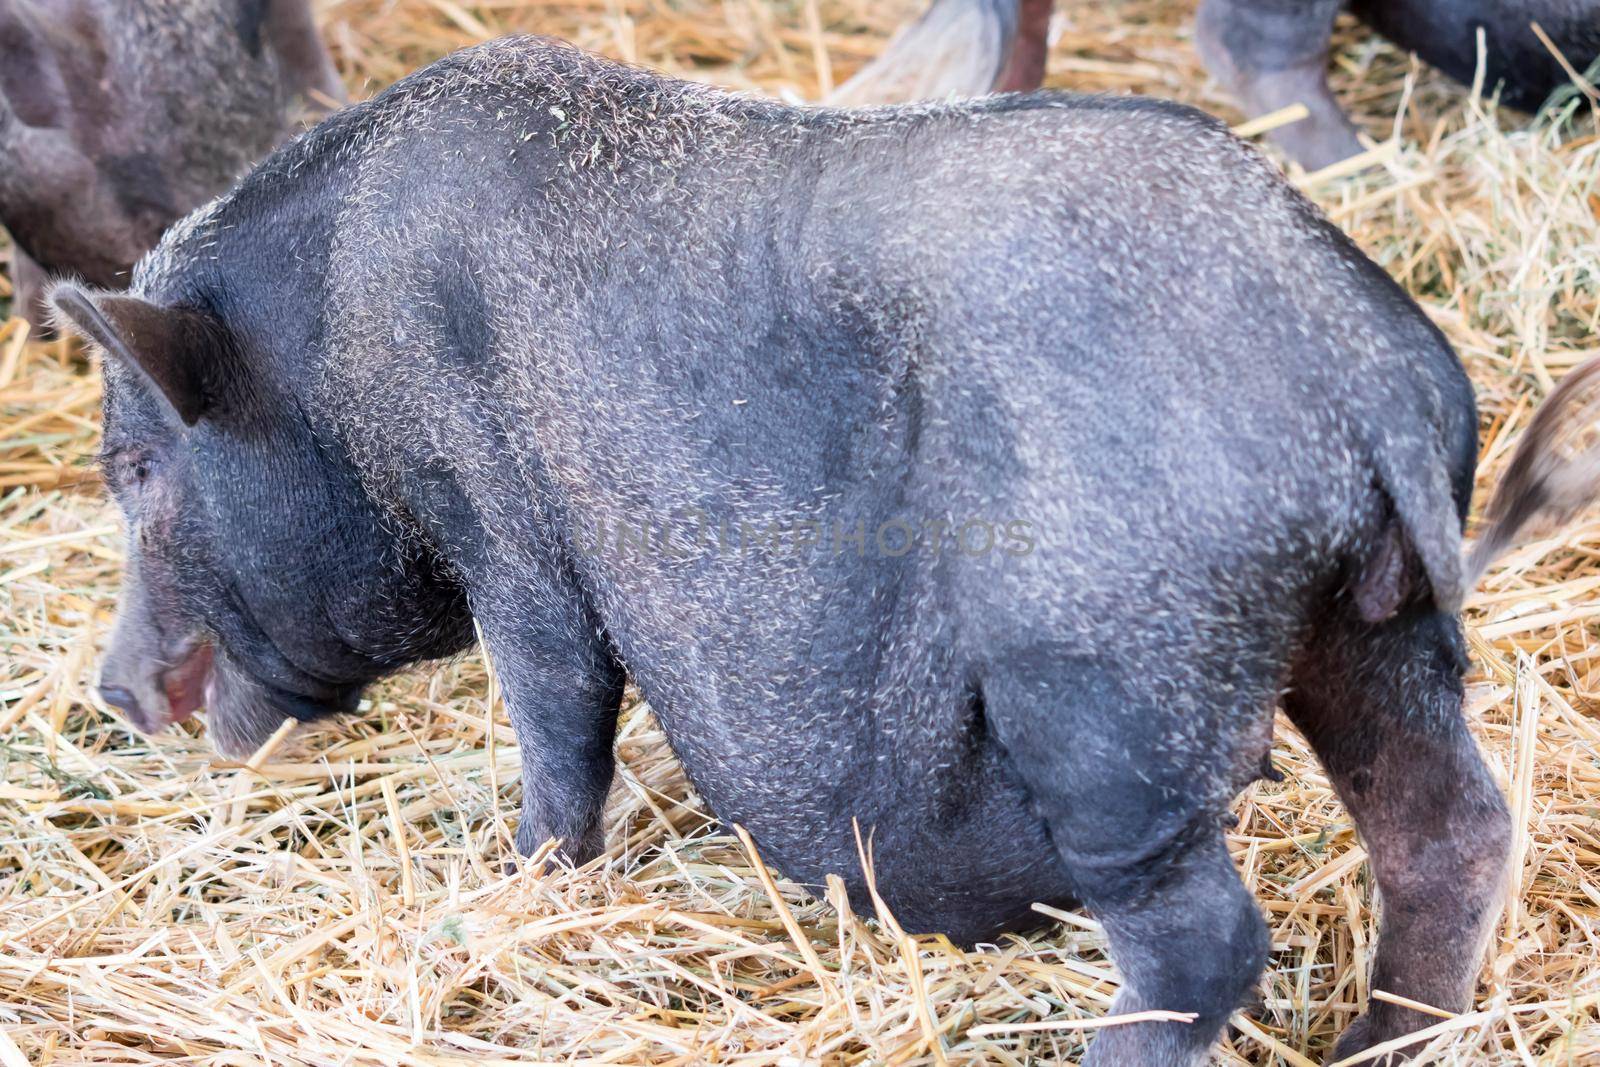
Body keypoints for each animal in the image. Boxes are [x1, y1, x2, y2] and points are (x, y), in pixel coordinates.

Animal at [50, 37, 1587, 1062]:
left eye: (136, 467)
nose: (112, 691)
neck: (326, 355)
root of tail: (1355, 377)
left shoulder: (505, 524)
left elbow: (558, 710)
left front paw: (516, 881)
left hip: (1107, 677)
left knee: (1204, 936)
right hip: (1373, 627)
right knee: (1449, 826)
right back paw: (1375, 1043)